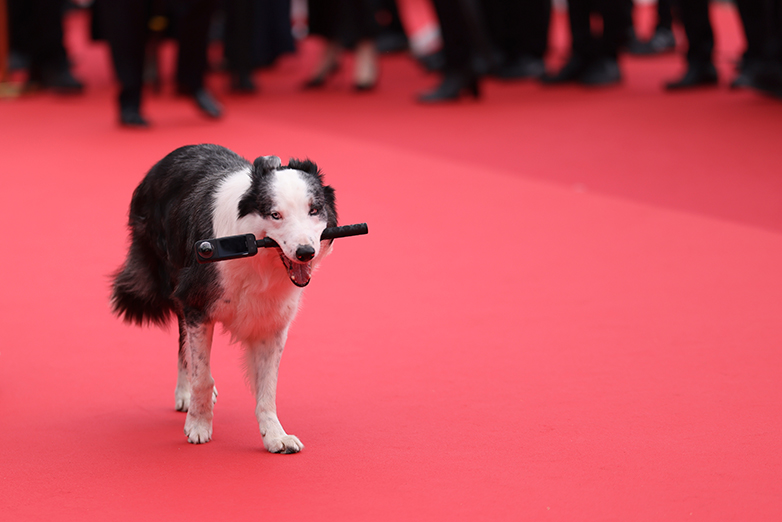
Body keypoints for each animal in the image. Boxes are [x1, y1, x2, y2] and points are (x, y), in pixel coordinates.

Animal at [111, 144, 337, 452]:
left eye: (314, 210)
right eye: (275, 215)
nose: (305, 252)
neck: (257, 257)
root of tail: (178, 151)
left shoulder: (271, 322)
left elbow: (268, 388)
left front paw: (275, 435)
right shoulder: (196, 303)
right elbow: (202, 376)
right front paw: (198, 425)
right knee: (183, 342)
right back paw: (185, 394)